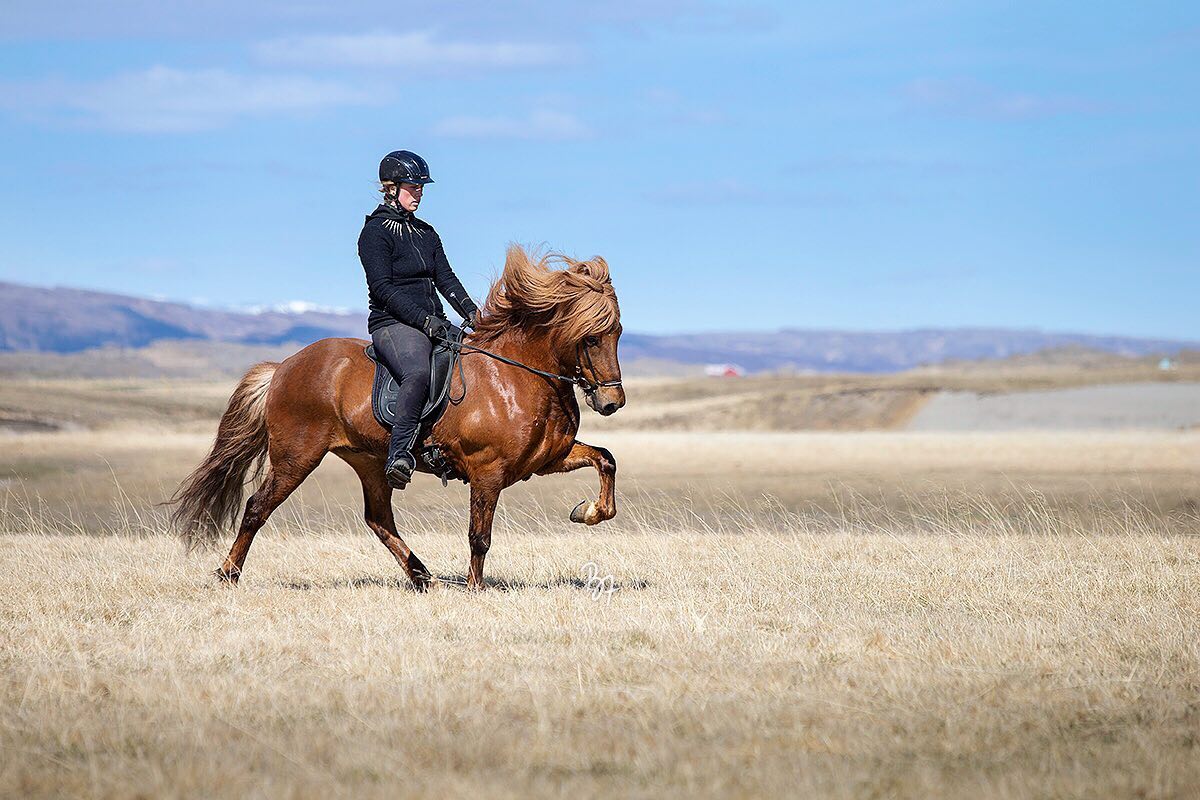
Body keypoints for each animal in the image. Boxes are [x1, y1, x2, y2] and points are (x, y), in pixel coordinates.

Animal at [168, 245, 625, 591]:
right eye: (590, 337)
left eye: (617, 332)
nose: (611, 402)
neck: (517, 374)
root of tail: (283, 367)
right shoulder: (488, 472)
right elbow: (480, 537)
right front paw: (476, 590)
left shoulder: (548, 459)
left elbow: (606, 458)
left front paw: (586, 511)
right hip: (296, 456)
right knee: (257, 508)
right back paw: (227, 574)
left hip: (369, 461)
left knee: (378, 519)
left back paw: (422, 576)